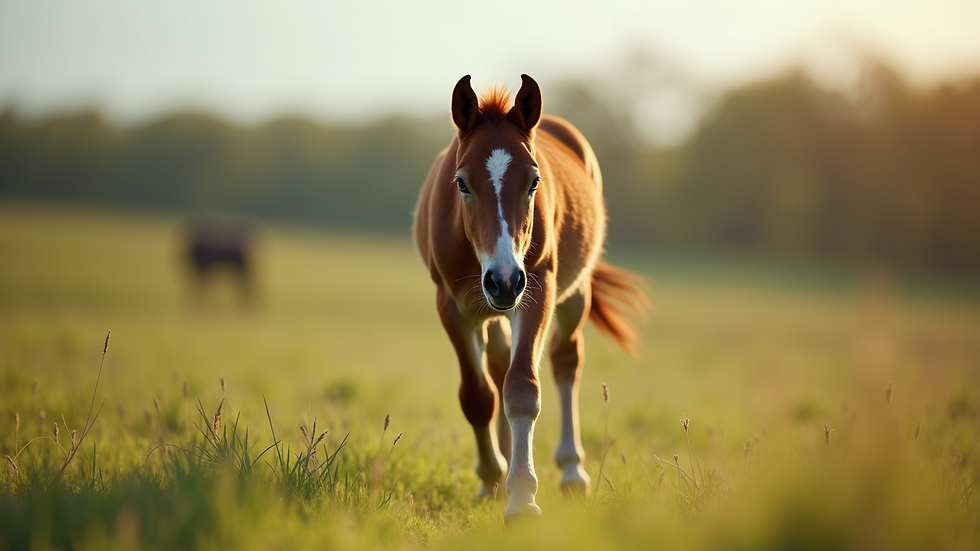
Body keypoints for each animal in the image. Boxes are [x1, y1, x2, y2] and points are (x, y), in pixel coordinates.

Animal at [413, 74, 647, 519]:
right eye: (461, 183)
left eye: (534, 182)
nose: (503, 280)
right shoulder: (450, 306)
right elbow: (478, 396)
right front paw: (491, 478)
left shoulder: (536, 291)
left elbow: (522, 387)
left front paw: (521, 498)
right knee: (498, 363)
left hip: (573, 295)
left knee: (565, 360)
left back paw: (571, 471)